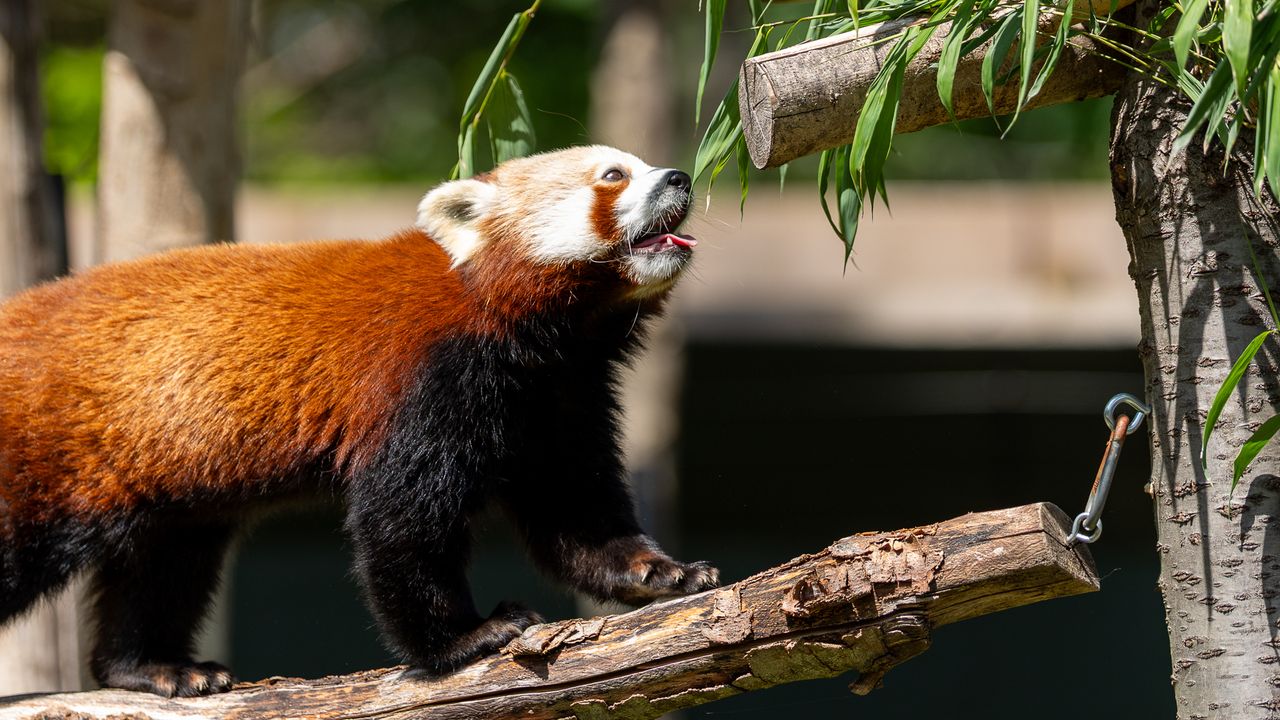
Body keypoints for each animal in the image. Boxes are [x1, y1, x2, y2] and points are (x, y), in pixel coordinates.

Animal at [0, 145, 719, 697]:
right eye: (614, 175)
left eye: (641, 164)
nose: (680, 176)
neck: (539, 335)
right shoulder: (427, 377)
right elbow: (401, 518)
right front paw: (465, 638)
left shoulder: (556, 396)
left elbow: (574, 508)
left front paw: (658, 571)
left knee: (160, 568)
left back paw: (153, 667)